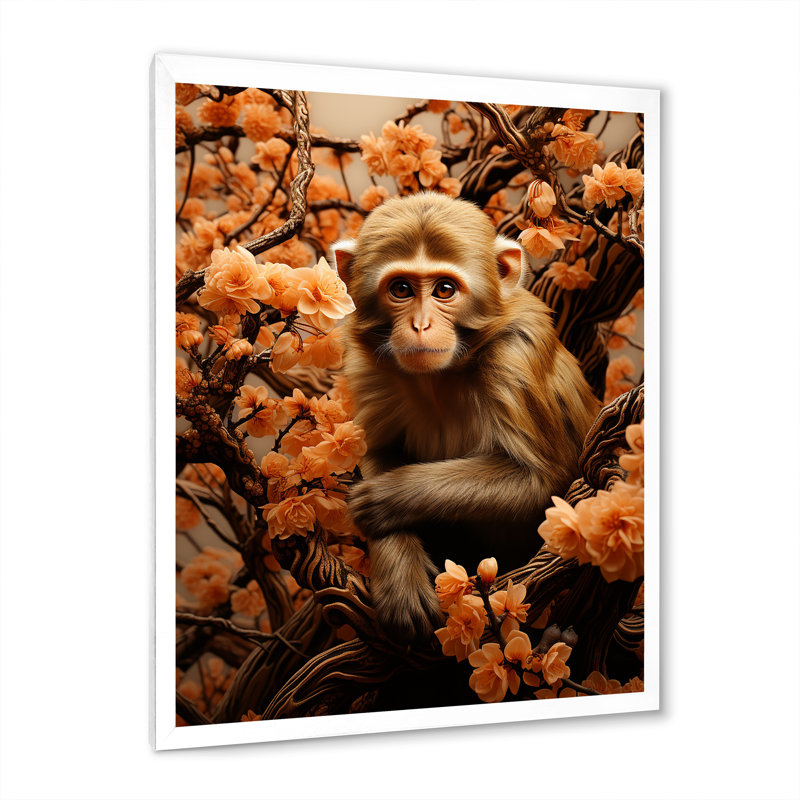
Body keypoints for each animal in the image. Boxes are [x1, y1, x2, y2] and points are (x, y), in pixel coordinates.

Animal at [331, 192, 600, 644]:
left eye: (445, 289)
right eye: (401, 289)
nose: (420, 325)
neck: (442, 378)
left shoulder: (517, 353)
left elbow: (541, 480)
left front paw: (387, 496)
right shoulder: (369, 369)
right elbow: (379, 451)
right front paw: (400, 578)